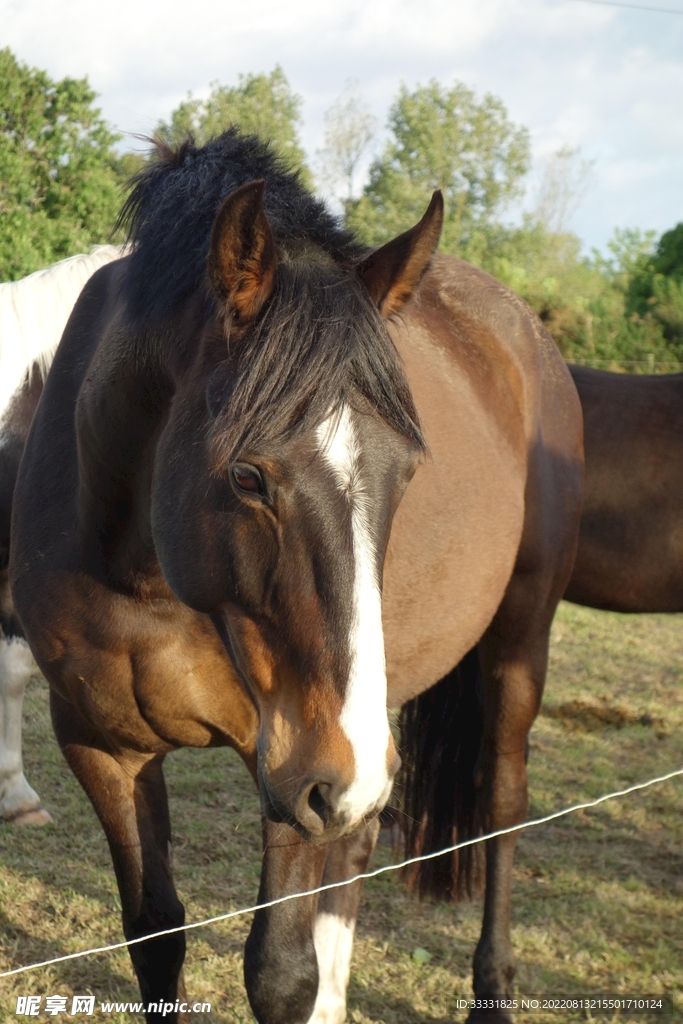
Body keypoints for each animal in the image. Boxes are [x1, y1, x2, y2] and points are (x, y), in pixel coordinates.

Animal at [9, 130, 583, 1024]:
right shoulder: (105, 745)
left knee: (499, 802)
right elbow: (155, 939)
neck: (147, 582)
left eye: (407, 471)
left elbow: (278, 971)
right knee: (356, 847)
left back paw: (492, 983)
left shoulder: (290, 761)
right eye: (247, 476)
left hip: (508, 644)